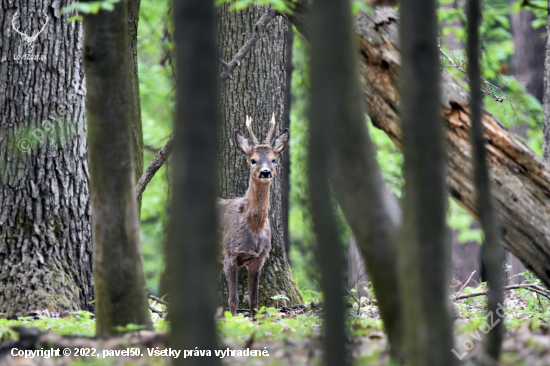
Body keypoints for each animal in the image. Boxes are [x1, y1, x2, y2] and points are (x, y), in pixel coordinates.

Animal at [219, 114, 292, 318]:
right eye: (253, 160)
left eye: (274, 159)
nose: (265, 172)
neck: (253, 226)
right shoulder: (230, 253)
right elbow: (233, 300)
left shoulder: (260, 258)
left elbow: (254, 302)